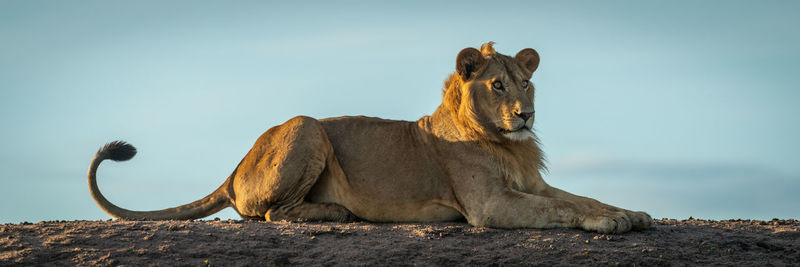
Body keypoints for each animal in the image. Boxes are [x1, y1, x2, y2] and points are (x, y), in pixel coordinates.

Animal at [87, 43, 648, 233]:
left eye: (526, 81)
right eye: (497, 85)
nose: (525, 114)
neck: (507, 142)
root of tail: (234, 170)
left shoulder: (532, 185)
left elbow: (581, 197)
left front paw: (632, 213)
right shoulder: (489, 205)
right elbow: (563, 208)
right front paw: (611, 223)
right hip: (307, 126)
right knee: (268, 213)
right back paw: (337, 212)